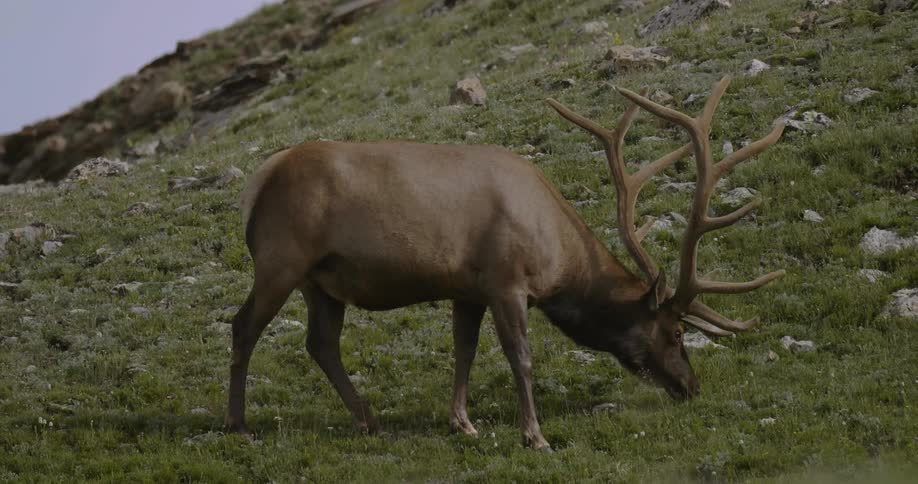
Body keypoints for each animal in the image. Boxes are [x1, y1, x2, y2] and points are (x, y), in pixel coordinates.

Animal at [225, 76, 785, 451]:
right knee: (243, 326)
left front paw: (463, 421)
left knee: (320, 342)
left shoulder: (467, 289)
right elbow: (521, 357)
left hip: (322, 281)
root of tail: (256, 181)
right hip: (280, 260)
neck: (559, 259)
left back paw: (368, 418)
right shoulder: (507, 281)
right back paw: (238, 424)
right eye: (675, 331)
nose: (690, 386)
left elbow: (465, 351)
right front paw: (534, 434)